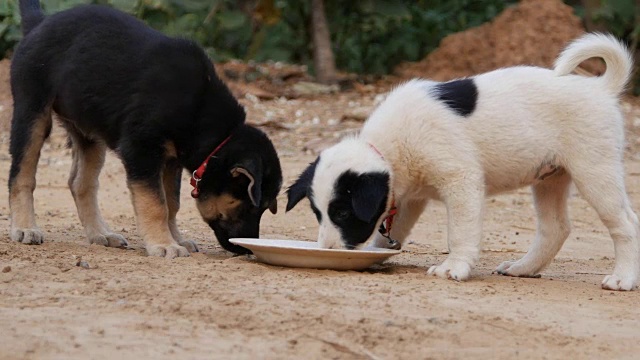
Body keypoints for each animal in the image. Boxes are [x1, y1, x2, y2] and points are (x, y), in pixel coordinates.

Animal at [6, 1, 282, 258]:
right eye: (249, 206)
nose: (246, 250)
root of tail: (39, 23)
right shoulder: (142, 149)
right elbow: (156, 204)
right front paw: (164, 244)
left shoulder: (171, 159)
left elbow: (172, 203)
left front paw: (176, 239)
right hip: (33, 111)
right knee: (21, 176)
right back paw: (25, 227)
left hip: (88, 130)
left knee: (80, 184)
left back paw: (100, 234)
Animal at [286, 33, 640, 292]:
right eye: (317, 213)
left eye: (343, 213)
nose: (329, 251)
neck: (388, 149)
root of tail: (600, 88)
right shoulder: (411, 199)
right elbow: (389, 232)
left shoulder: (461, 180)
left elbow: (459, 232)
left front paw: (453, 267)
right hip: (551, 177)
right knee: (556, 228)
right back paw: (523, 269)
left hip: (594, 169)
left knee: (625, 224)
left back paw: (622, 278)